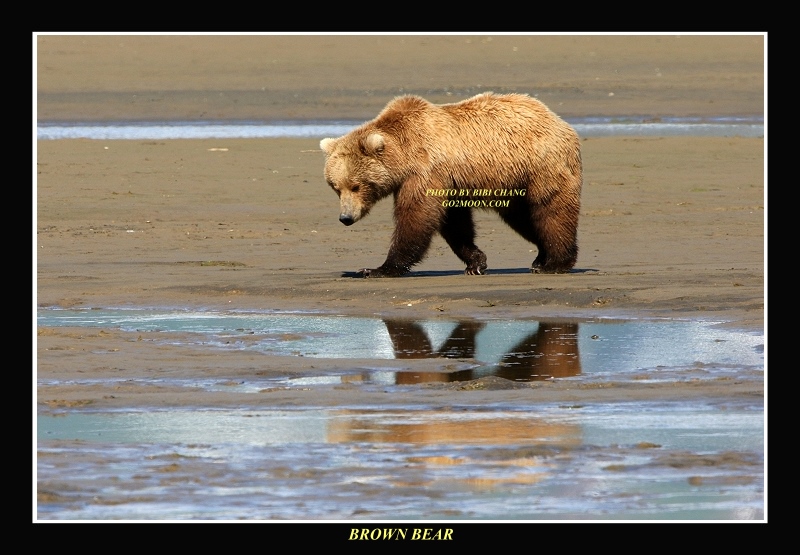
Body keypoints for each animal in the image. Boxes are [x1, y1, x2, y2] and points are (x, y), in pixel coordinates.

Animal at [320, 92, 582, 277]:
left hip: (541, 166)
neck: (403, 156)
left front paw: (377, 269)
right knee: (523, 217)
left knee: (550, 210)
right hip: (513, 182)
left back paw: (555, 263)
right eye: (336, 187)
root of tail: (560, 121)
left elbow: (416, 217)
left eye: (356, 186)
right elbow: (454, 222)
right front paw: (476, 262)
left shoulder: (425, 171)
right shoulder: (450, 182)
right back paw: (541, 257)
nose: (346, 217)